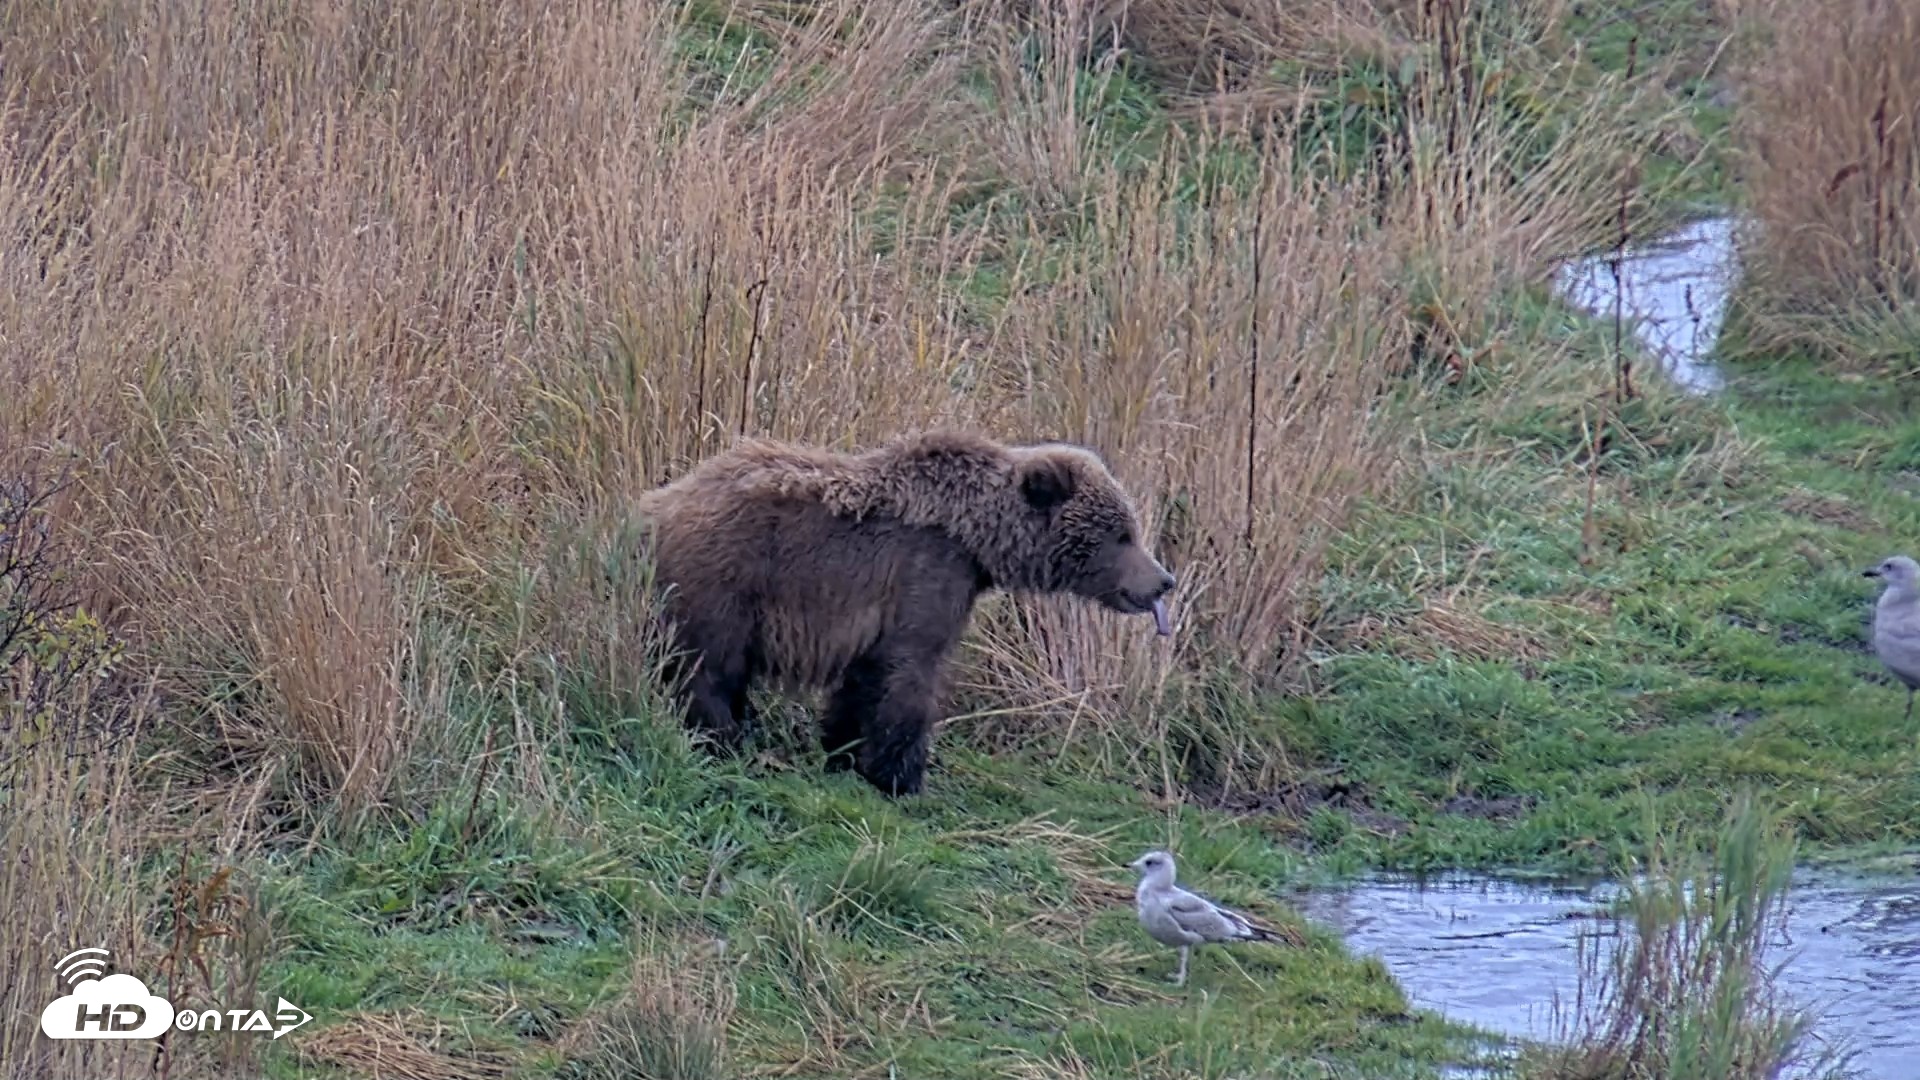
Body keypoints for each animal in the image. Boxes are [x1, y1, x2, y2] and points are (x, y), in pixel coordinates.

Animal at [631, 428, 1176, 796]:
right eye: (1121, 533)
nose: (1162, 580)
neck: (978, 542)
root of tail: (654, 502)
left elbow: (865, 678)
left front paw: (844, 750)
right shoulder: (926, 573)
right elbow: (911, 672)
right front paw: (903, 776)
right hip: (726, 579)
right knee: (707, 666)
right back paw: (719, 735)